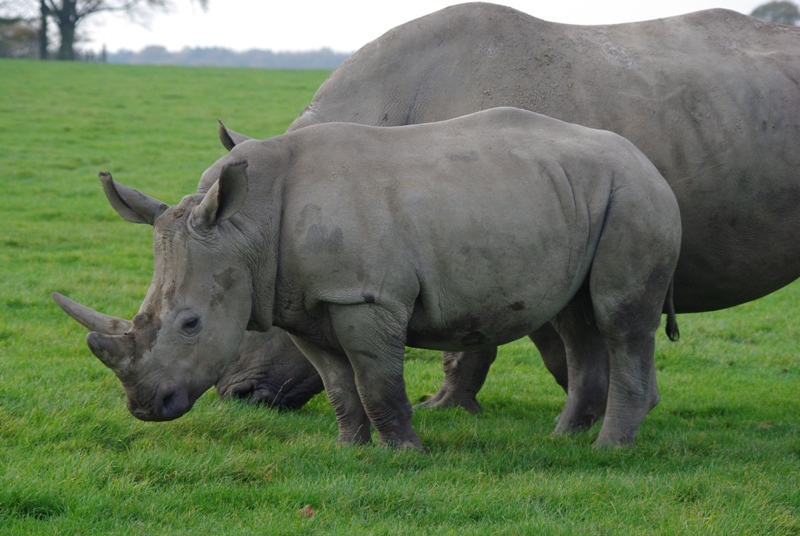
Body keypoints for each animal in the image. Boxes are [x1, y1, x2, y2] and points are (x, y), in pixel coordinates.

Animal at [57, 107, 681, 447]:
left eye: (190, 324)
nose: (145, 407)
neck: (244, 225)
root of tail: (647, 161)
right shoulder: (303, 301)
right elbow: (338, 383)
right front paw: (350, 447)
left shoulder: (364, 296)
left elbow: (378, 380)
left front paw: (407, 453)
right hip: (580, 196)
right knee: (577, 321)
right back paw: (563, 439)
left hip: (633, 196)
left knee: (620, 321)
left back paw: (608, 450)